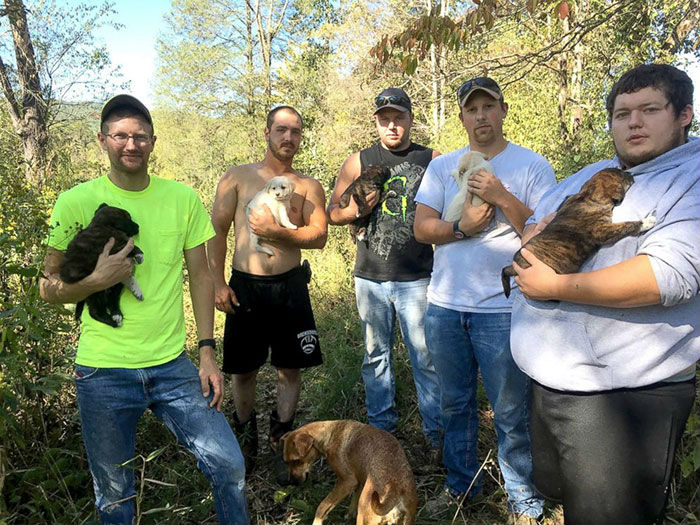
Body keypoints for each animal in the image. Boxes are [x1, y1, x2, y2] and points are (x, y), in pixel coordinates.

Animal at [282, 418, 418, 524]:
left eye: (297, 461)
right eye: (286, 462)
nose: (292, 482)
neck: (330, 433)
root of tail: (394, 488)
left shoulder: (347, 482)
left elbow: (322, 507)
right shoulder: (359, 481)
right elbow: (353, 499)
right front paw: (349, 515)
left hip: (364, 514)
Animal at [500, 169, 652, 296]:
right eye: (621, 174)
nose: (630, 172)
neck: (587, 196)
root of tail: (513, 267)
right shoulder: (601, 231)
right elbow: (626, 225)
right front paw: (646, 222)